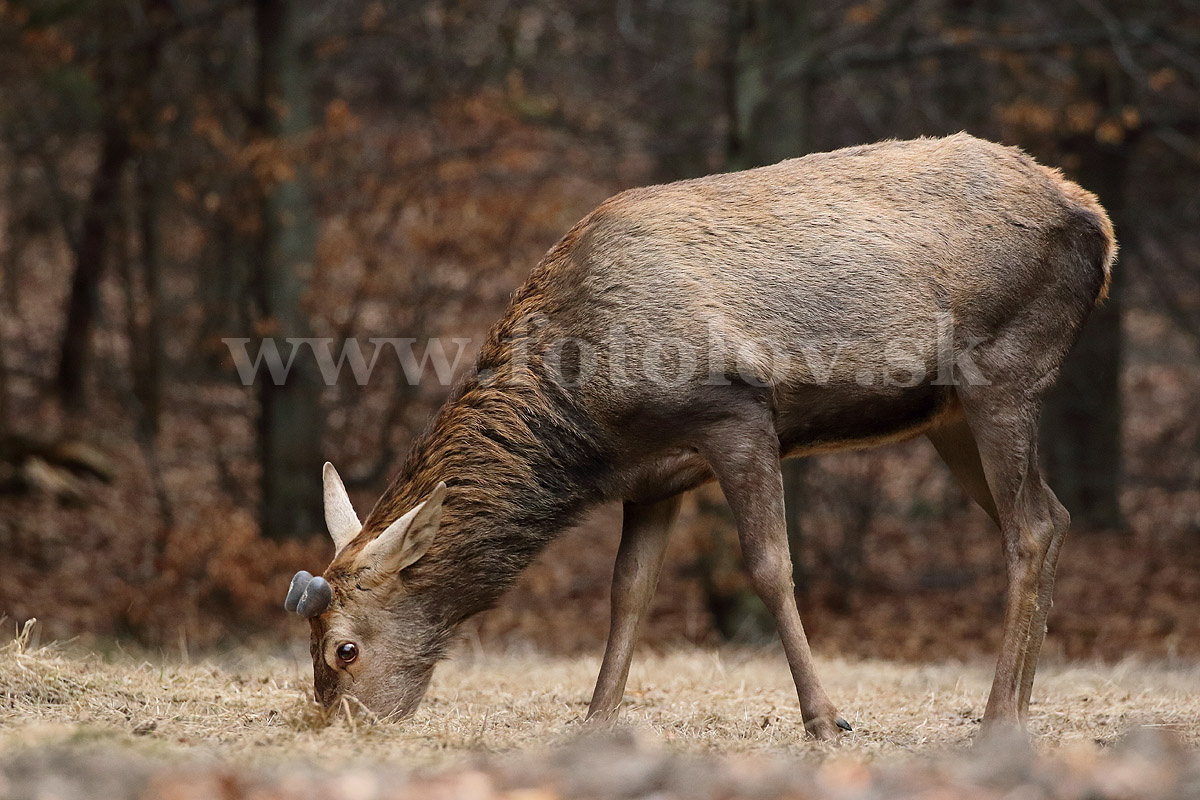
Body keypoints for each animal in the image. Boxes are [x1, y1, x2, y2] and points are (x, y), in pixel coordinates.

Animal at [283, 134, 1113, 743]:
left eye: (342, 648)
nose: (336, 724)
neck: (586, 419)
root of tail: (1097, 222)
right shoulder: (654, 475)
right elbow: (628, 592)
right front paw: (596, 719)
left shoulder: (734, 412)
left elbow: (771, 566)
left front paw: (826, 720)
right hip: (948, 417)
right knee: (1054, 514)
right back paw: (1020, 708)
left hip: (1005, 370)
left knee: (1031, 527)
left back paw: (998, 716)